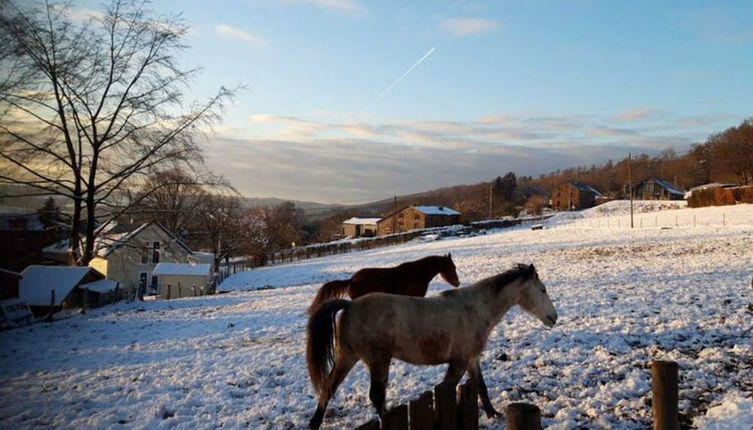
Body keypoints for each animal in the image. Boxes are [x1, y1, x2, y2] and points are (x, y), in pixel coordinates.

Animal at [306, 264, 560, 428]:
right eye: (543, 289)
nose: (554, 318)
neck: (476, 308)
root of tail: (349, 305)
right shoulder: (458, 362)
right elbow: (447, 389)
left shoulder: (471, 359)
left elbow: (481, 387)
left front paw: (493, 414)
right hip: (379, 362)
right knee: (376, 396)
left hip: (347, 358)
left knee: (328, 387)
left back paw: (314, 424)